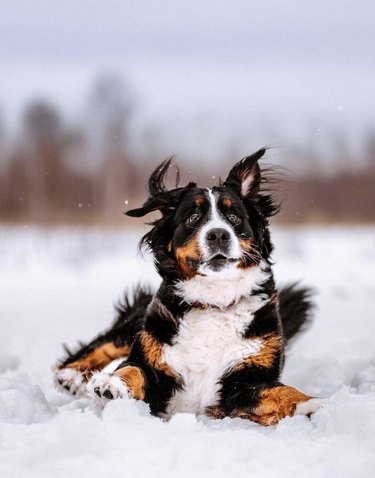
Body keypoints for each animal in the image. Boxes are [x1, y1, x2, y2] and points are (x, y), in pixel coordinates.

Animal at [53, 148, 326, 426]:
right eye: (193, 217)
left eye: (234, 217)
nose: (218, 234)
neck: (213, 302)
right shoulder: (154, 363)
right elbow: (132, 369)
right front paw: (112, 383)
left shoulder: (244, 381)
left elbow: (280, 391)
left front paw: (313, 404)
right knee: (101, 346)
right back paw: (73, 378)